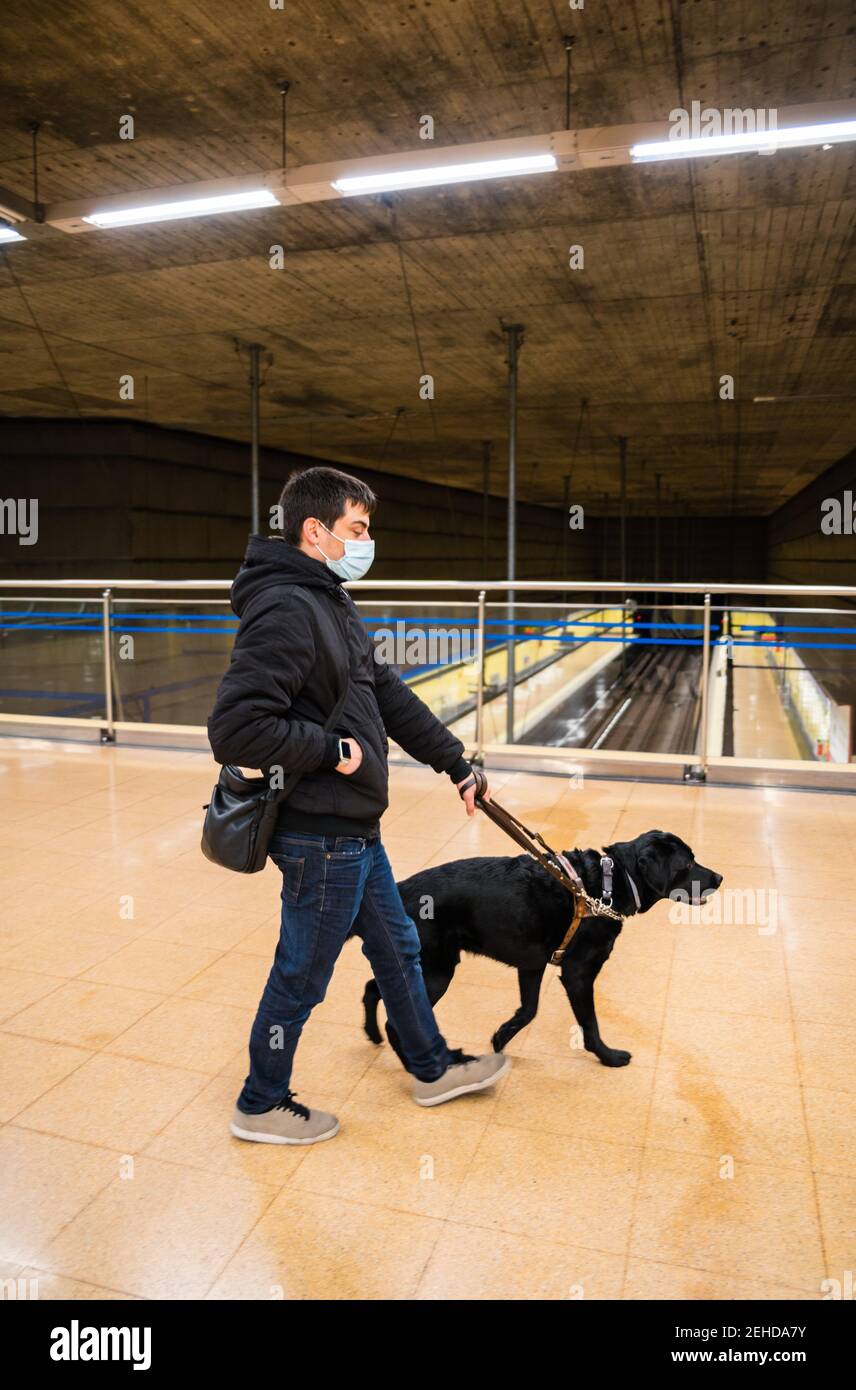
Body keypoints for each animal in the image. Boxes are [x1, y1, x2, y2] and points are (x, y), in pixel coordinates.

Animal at [361, 828, 722, 1067]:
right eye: (688, 864)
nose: (719, 878)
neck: (607, 884)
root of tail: (401, 888)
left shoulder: (530, 964)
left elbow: (529, 1010)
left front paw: (501, 1036)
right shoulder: (578, 973)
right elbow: (590, 1023)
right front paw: (607, 1055)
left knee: (372, 989)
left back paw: (374, 1034)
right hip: (437, 972)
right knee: (396, 1019)